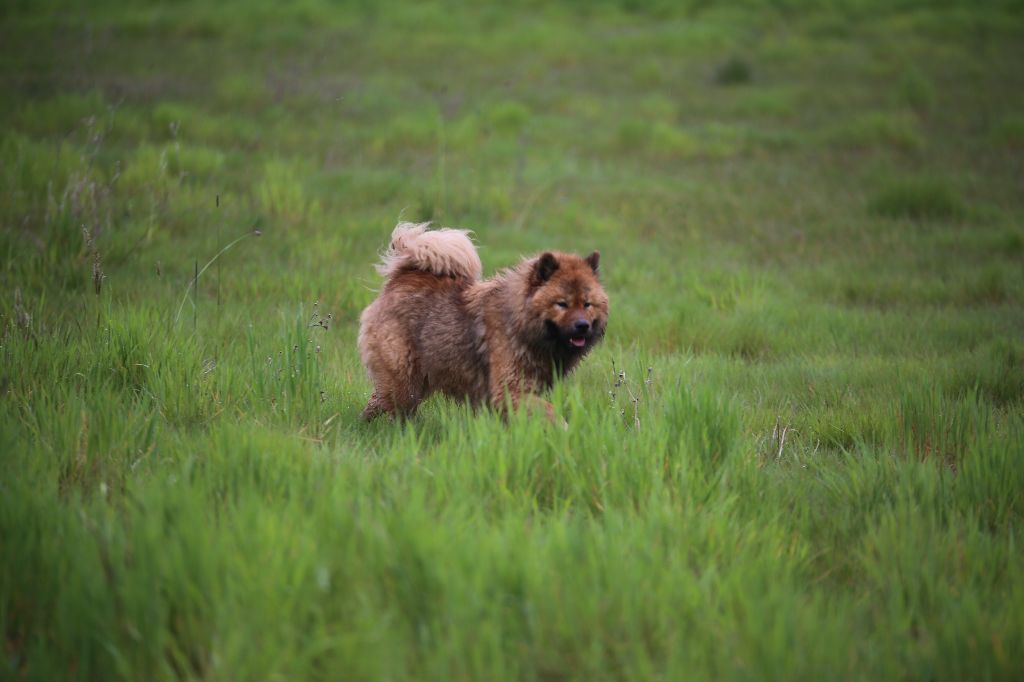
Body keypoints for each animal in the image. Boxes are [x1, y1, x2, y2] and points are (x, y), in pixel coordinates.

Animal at [358, 220, 606, 417]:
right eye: (561, 304)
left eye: (587, 304)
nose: (582, 326)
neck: (518, 320)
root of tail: (401, 277)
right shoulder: (509, 389)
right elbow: (550, 412)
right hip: (404, 379)